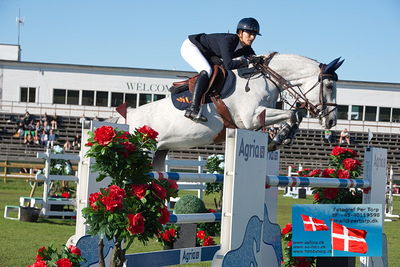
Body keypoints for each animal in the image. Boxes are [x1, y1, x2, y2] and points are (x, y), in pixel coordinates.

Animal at [121, 53, 344, 170]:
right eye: (329, 86)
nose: (332, 122)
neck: (265, 79)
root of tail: (126, 119)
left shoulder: (260, 115)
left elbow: (295, 115)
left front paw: (282, 138)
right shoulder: (251, 118)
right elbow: (291, 114)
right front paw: (278, 139)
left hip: (159, 154)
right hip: (143, 152)